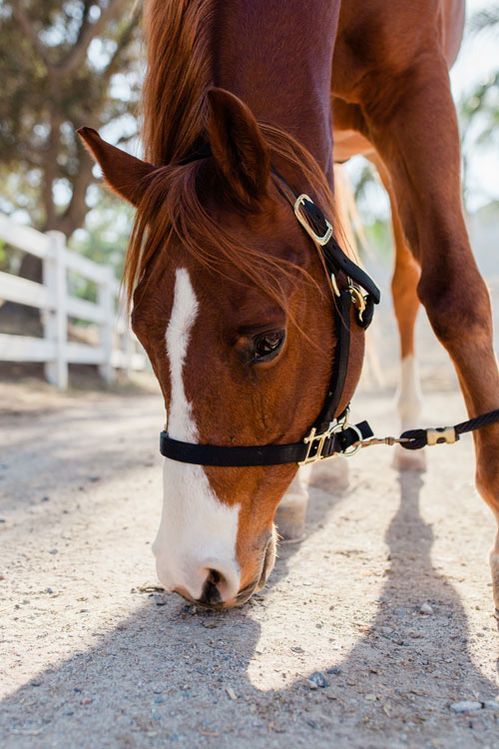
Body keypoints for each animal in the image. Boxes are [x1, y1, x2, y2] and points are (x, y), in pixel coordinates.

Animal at [78, 0, 499, 613]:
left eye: (267, 341)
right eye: (142, 336)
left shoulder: (417, 86)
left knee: (407, 288)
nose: (192, 573)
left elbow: (452, 290)